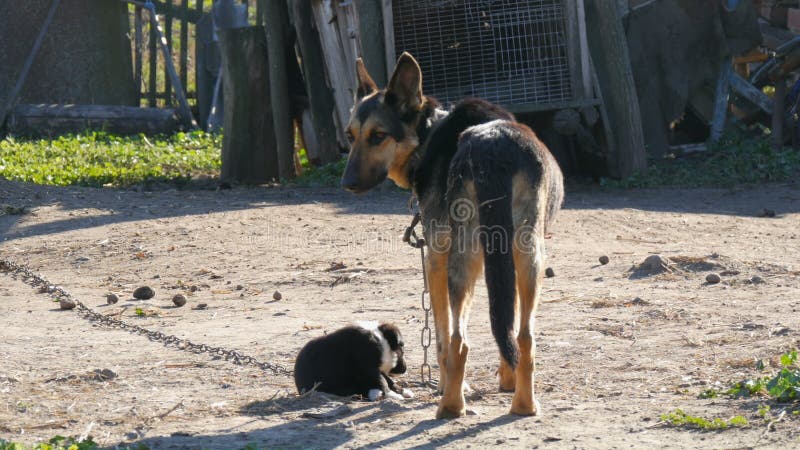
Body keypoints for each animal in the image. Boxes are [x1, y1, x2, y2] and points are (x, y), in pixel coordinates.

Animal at [340, 53, 564, 418]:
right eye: (350, 136)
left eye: (378, 136)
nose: (347, 184)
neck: (429, 132)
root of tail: (493, 149)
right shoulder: (499, 257)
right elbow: (505, 318)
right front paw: (508, 378)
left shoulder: (435, 257)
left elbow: (442, 337)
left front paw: (446, 384)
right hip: (528, 253)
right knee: (525, 335)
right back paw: (524, 404)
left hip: (463, 258)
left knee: (459, 339)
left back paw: (450, 406)